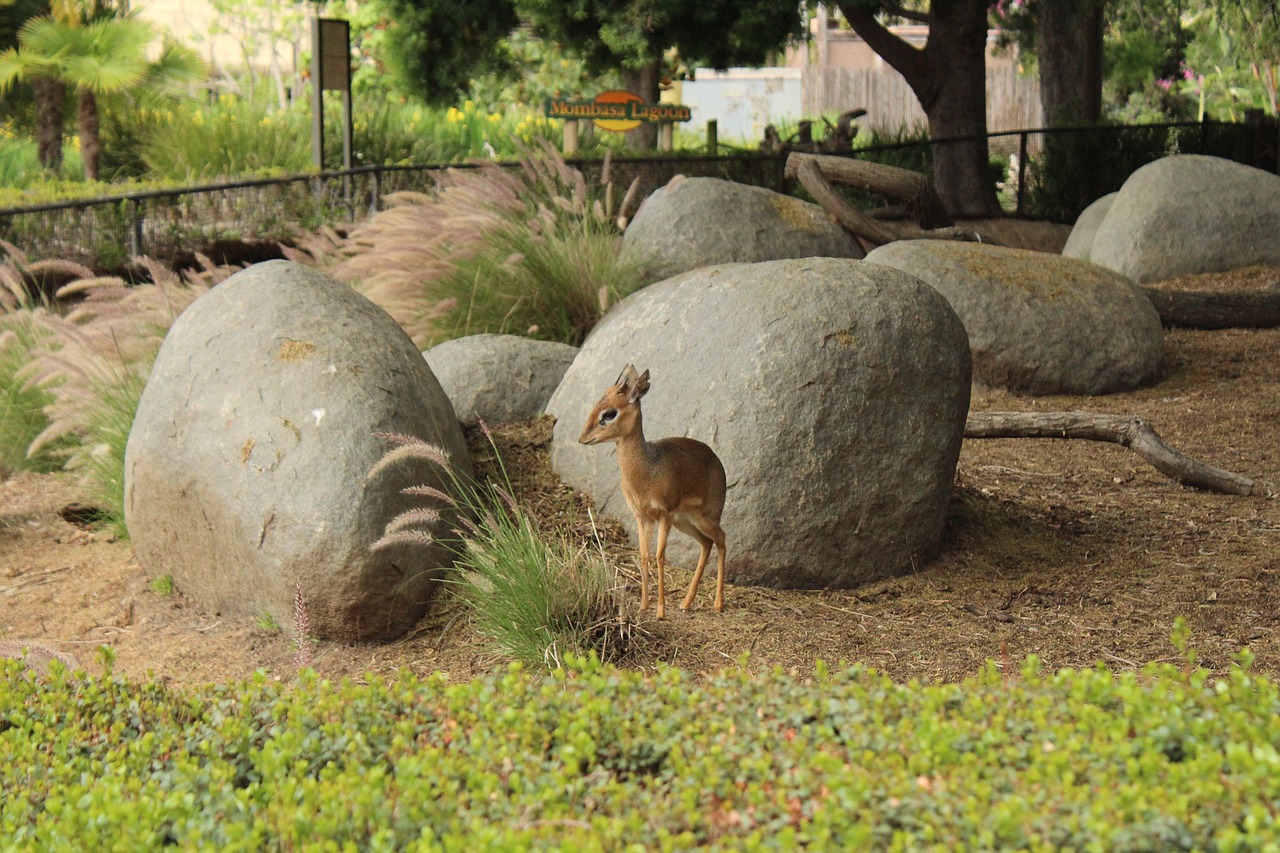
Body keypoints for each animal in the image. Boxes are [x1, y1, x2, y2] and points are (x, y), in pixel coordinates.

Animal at [583, 361, 732, 614]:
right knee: (707, 543)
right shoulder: (642, 517)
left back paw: (718, 604)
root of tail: (717, 461)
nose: (582, 438)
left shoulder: (664, 514)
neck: (646, 470)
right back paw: (686, 602)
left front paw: (661, 611)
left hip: (704, 517)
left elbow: (660, 555)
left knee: (721, 539)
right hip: (685, 521)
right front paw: (644, 606)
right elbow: (644, 555)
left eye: (610, 413)